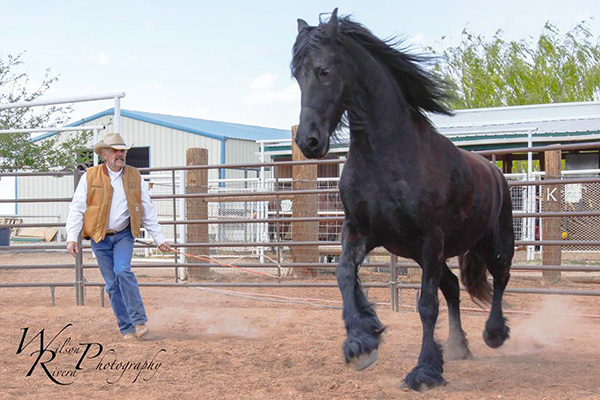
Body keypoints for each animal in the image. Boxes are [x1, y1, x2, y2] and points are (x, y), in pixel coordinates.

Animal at [292, 8, 512, 390]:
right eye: (296, 76)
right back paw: (458, 346)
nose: (309, 141)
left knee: (499, 278)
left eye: (324, 71)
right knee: (452, 287)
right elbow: (344, 274)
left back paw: (494, 334)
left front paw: (423, 370)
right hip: (426, 255)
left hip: (490, 244)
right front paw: (362, 342)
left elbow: (426, 306)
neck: (387, 155)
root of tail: (494, 170)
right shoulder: (361, 230)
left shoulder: (430, 238)